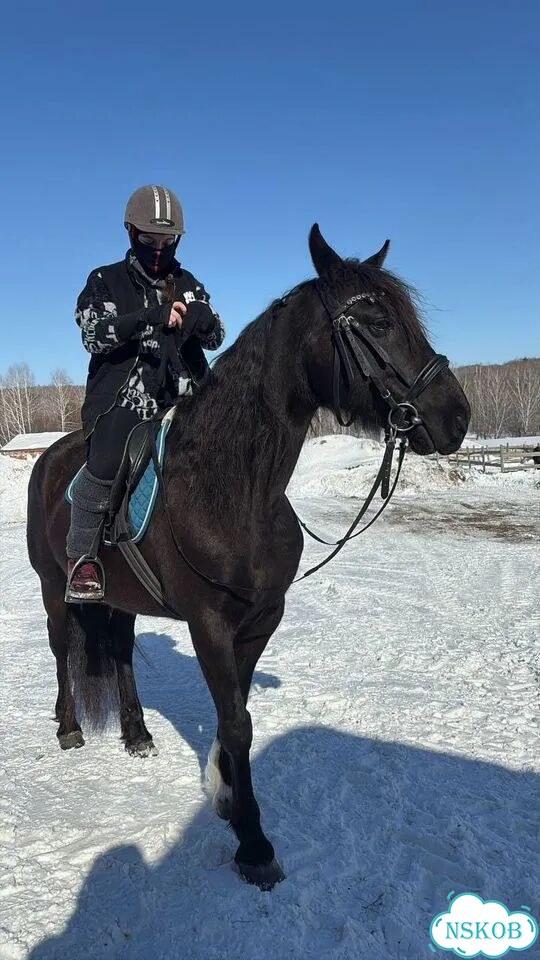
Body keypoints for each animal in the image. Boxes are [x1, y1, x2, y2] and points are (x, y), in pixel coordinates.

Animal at [26, 224, 470, 890]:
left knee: (123, 655)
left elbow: (235, 712)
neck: (233, 488)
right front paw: (254, 842)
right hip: (54, 589)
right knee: (63, 652)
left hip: (121, 601)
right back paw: (70, 728)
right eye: (376, 321)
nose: (456, 416)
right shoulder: (209, 622)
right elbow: (236, 721)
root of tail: (50, 459)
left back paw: (136, 734)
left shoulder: (261, 619)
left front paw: (229, 802)